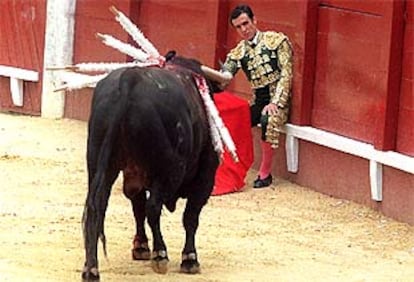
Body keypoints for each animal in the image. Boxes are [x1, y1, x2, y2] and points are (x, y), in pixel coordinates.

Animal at [81, 54, 223, 278]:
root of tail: (129, 81)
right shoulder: (205, 178)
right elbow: (190, 216)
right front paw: (190, 259)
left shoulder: (133, 175)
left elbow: (137, 207)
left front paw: (140, 247)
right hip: (167, 170)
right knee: (154, 207)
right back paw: (160, 255)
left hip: (98, 164)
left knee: (97, 207)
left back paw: (91, 268)